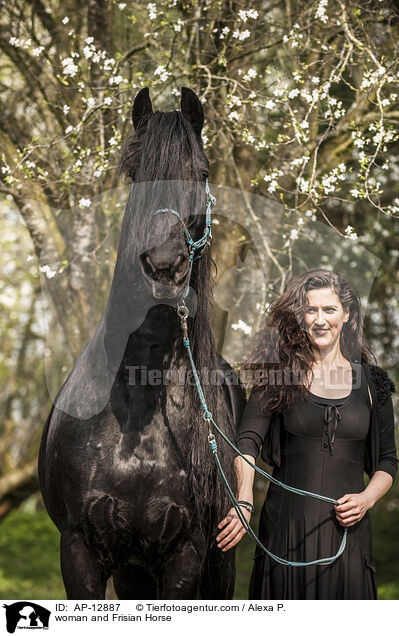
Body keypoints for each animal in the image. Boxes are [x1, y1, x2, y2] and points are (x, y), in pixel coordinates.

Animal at [39, 87, 248, 600]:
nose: (164, 266)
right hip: (133, 572)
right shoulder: (80, 551)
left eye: (201, 172)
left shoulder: (186, 554)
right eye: (136, 173)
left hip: (220, 565)